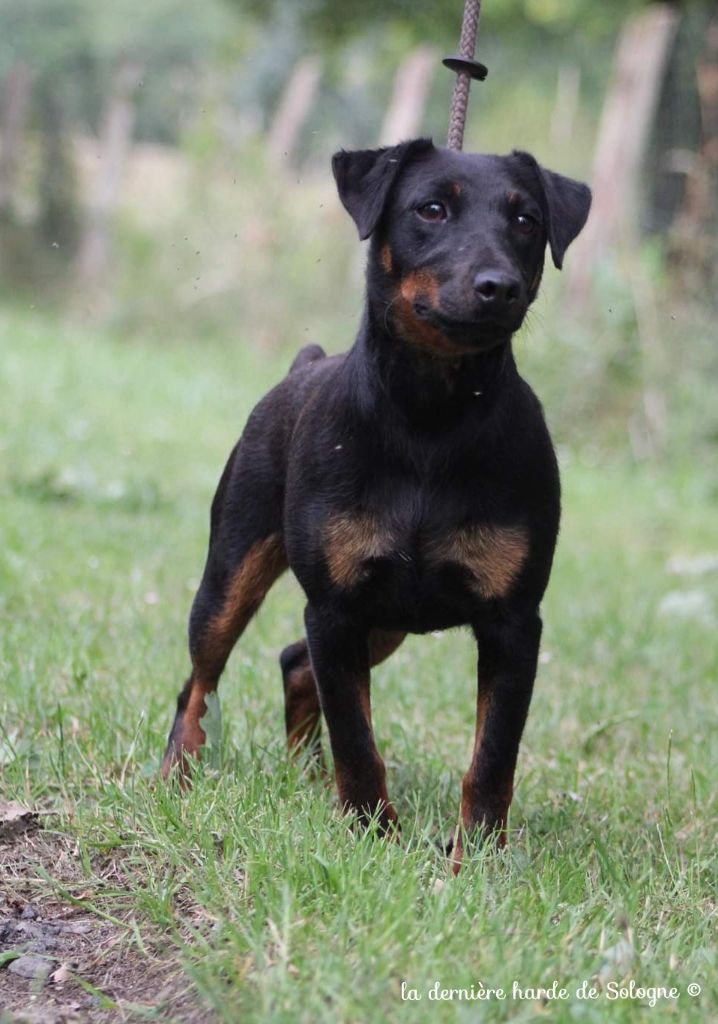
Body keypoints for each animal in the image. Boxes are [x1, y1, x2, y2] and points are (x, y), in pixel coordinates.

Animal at [164, 138, 589, 864]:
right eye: (431, 209)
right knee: (200, 680)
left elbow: (493, 755)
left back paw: (305, 777)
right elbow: (356, 738)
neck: (430, 419)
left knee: (294, 666)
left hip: (387, 618)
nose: (498, 285)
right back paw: (178, 775)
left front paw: (477, 856)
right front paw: (369, 833)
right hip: (234, 572)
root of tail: (304, 365)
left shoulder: (512, 622)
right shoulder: (335, 610)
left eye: (527, 220)